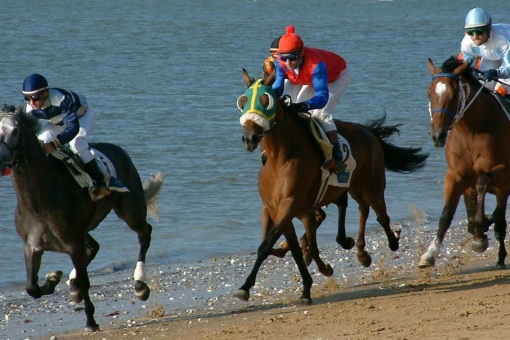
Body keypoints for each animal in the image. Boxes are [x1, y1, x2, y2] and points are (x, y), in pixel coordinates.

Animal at [0, 104, 164, 332]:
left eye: (15, 130)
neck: (39, 201)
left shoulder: (72, 243)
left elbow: (85, 281)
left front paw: (90, 321)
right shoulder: (32, 244)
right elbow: (32, 288)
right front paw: (54, 279)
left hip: (131, 210)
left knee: (144, 233)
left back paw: (139, 284)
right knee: (94, 247)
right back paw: (73, 283)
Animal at [237, 69, 428, 302]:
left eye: (266, 100)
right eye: (243, 101)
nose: (249, 138)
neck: (279, 158)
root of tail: (368, 131)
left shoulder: (290, 205)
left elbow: (267, 245)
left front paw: (246, 287)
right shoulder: (273, 208)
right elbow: (290, 248)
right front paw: (304, 287)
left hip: (372, 185)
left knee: (381, 215)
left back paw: (390, 241)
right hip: (352, 186)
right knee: (361, 208)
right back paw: (360, 251)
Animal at [418, 57, 510, 270]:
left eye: (453, 95)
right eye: (429, 92)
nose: (437, 135)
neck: (472, 131)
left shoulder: (503, 171)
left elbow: (483, 181)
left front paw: (481, 228)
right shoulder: (455, 175)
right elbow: (446, 214)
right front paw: (429, 254)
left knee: (500, 219)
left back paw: (499, 255)